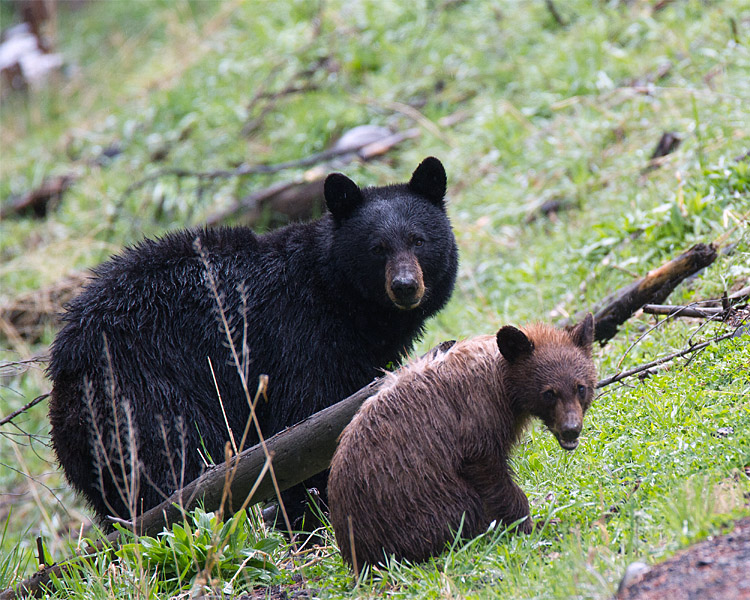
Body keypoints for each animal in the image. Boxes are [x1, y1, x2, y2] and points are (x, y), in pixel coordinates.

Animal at [48, 157, 458, 528]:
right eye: (377, 247)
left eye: (418, 240)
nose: (405, 286)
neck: (339, 297)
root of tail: (65, 372)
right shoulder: (299, 337)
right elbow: (306, 419)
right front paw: (317, 514)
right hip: (147, 397)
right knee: (174, 464)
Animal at [328, 314, 600, 568]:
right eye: (549, 393)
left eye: (580, 388)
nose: (571, 430)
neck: (502, 383)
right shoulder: (476, 419)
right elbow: (489, 472)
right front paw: (530, 522)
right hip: (414, 503)